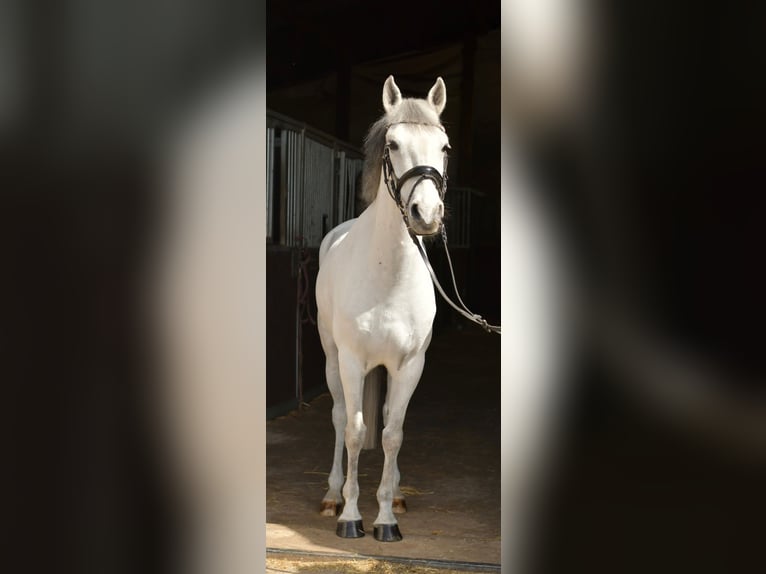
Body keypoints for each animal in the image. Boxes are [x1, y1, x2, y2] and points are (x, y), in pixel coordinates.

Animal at [314, 75, 450, 542]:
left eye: (444, 146)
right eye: (393, 143)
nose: (426, 214)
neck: (388, 274)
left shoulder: (410, 365)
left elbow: (393, 433)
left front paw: (387, 517)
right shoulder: (353, 361)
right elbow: (356, 431)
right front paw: (352, 517)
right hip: (333, 360)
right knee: (339, 417)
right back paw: (332, 496)